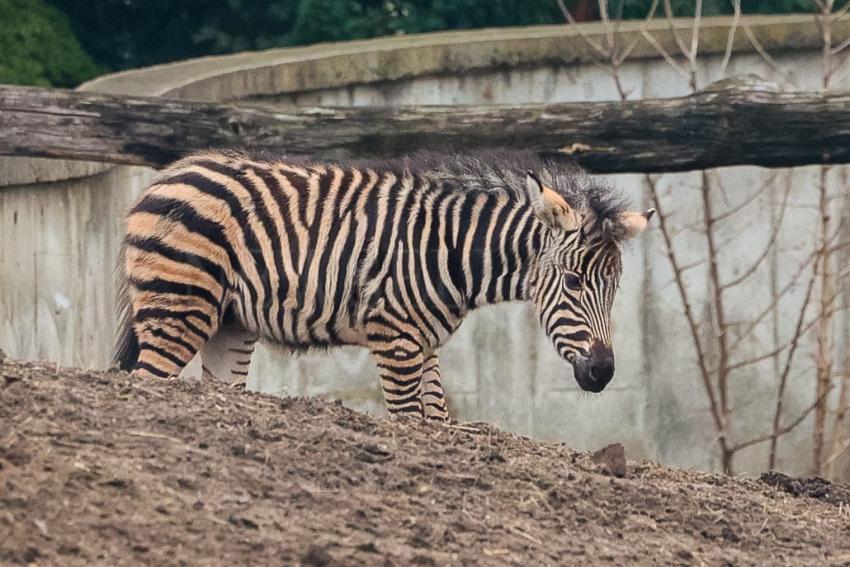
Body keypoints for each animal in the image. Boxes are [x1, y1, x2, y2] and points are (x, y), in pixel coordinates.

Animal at [112, 151, 652, 422]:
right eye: (573, 281)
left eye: (615, 287)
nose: (603, 373)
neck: (449, 250)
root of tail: (165, 175)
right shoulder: (395, 340)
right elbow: (408, 422)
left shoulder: (424, 344)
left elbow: (437, 420)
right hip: (180, 307)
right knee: (145, 381)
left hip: (230, 326)